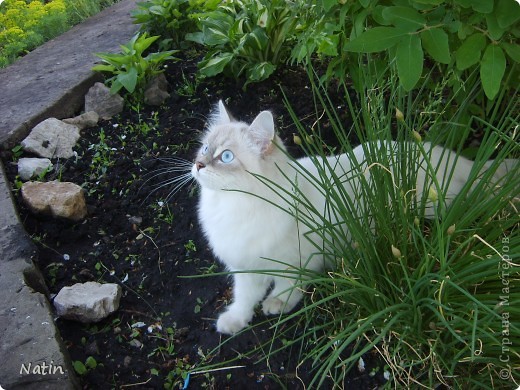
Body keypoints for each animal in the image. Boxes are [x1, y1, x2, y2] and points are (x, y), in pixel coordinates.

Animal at [190, 101, 512, 336]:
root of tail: (452, 158)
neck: (233, 206)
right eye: (205, 149)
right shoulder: (246, 267)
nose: (198, 165)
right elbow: (243, 300)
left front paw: (276, 305)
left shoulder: (295, 261)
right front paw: (233, 323)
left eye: (226, 157)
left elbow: (287, 288)